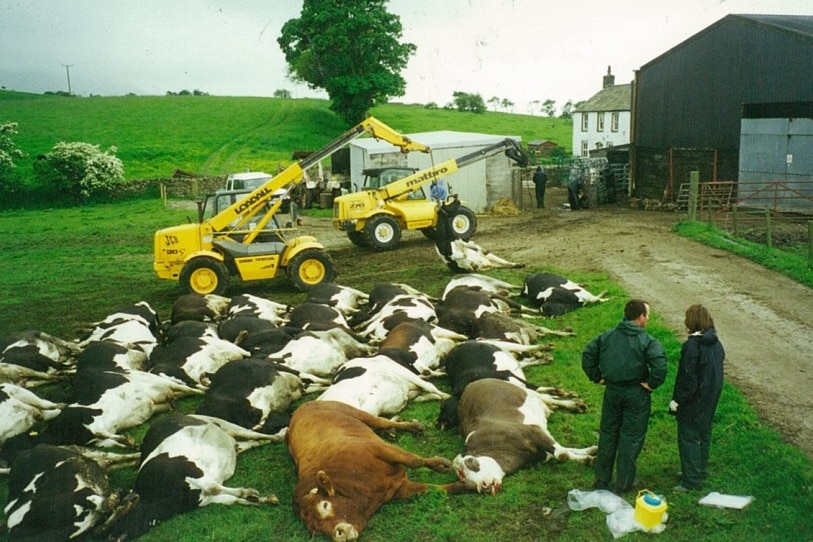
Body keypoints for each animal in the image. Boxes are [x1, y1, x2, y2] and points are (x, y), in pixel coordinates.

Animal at [108, 416, 280, 540]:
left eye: (119, 513)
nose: (108, 535)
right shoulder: (203, 499)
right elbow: (231, 500)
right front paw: (262, 499)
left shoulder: (188, 470)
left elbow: (214, 487)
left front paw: (250, 492)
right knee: (250, 442)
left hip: (226, 425)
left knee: (255, 434)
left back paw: (278, 435)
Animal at [288, 402, 472, 540]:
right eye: (316, 529)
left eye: (325, 505)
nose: (338, 533)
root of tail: (301, 408)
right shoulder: (400, 489)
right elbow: (433, 489)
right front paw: (463, 486)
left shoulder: (378, 448)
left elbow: (414, 460)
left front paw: (441, 465)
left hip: (355, 412)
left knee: (382, 421)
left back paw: (412, 426)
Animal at [450, 380, 588, 496]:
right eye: (462, 476)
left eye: (470, 462)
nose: (484, 486)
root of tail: (471, 384)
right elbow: (566, 450)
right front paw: (589, 453)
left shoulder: (531, 430)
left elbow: (562, 454)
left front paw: (589, 459)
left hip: (524, 390)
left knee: (545, 397)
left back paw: (574, 404)